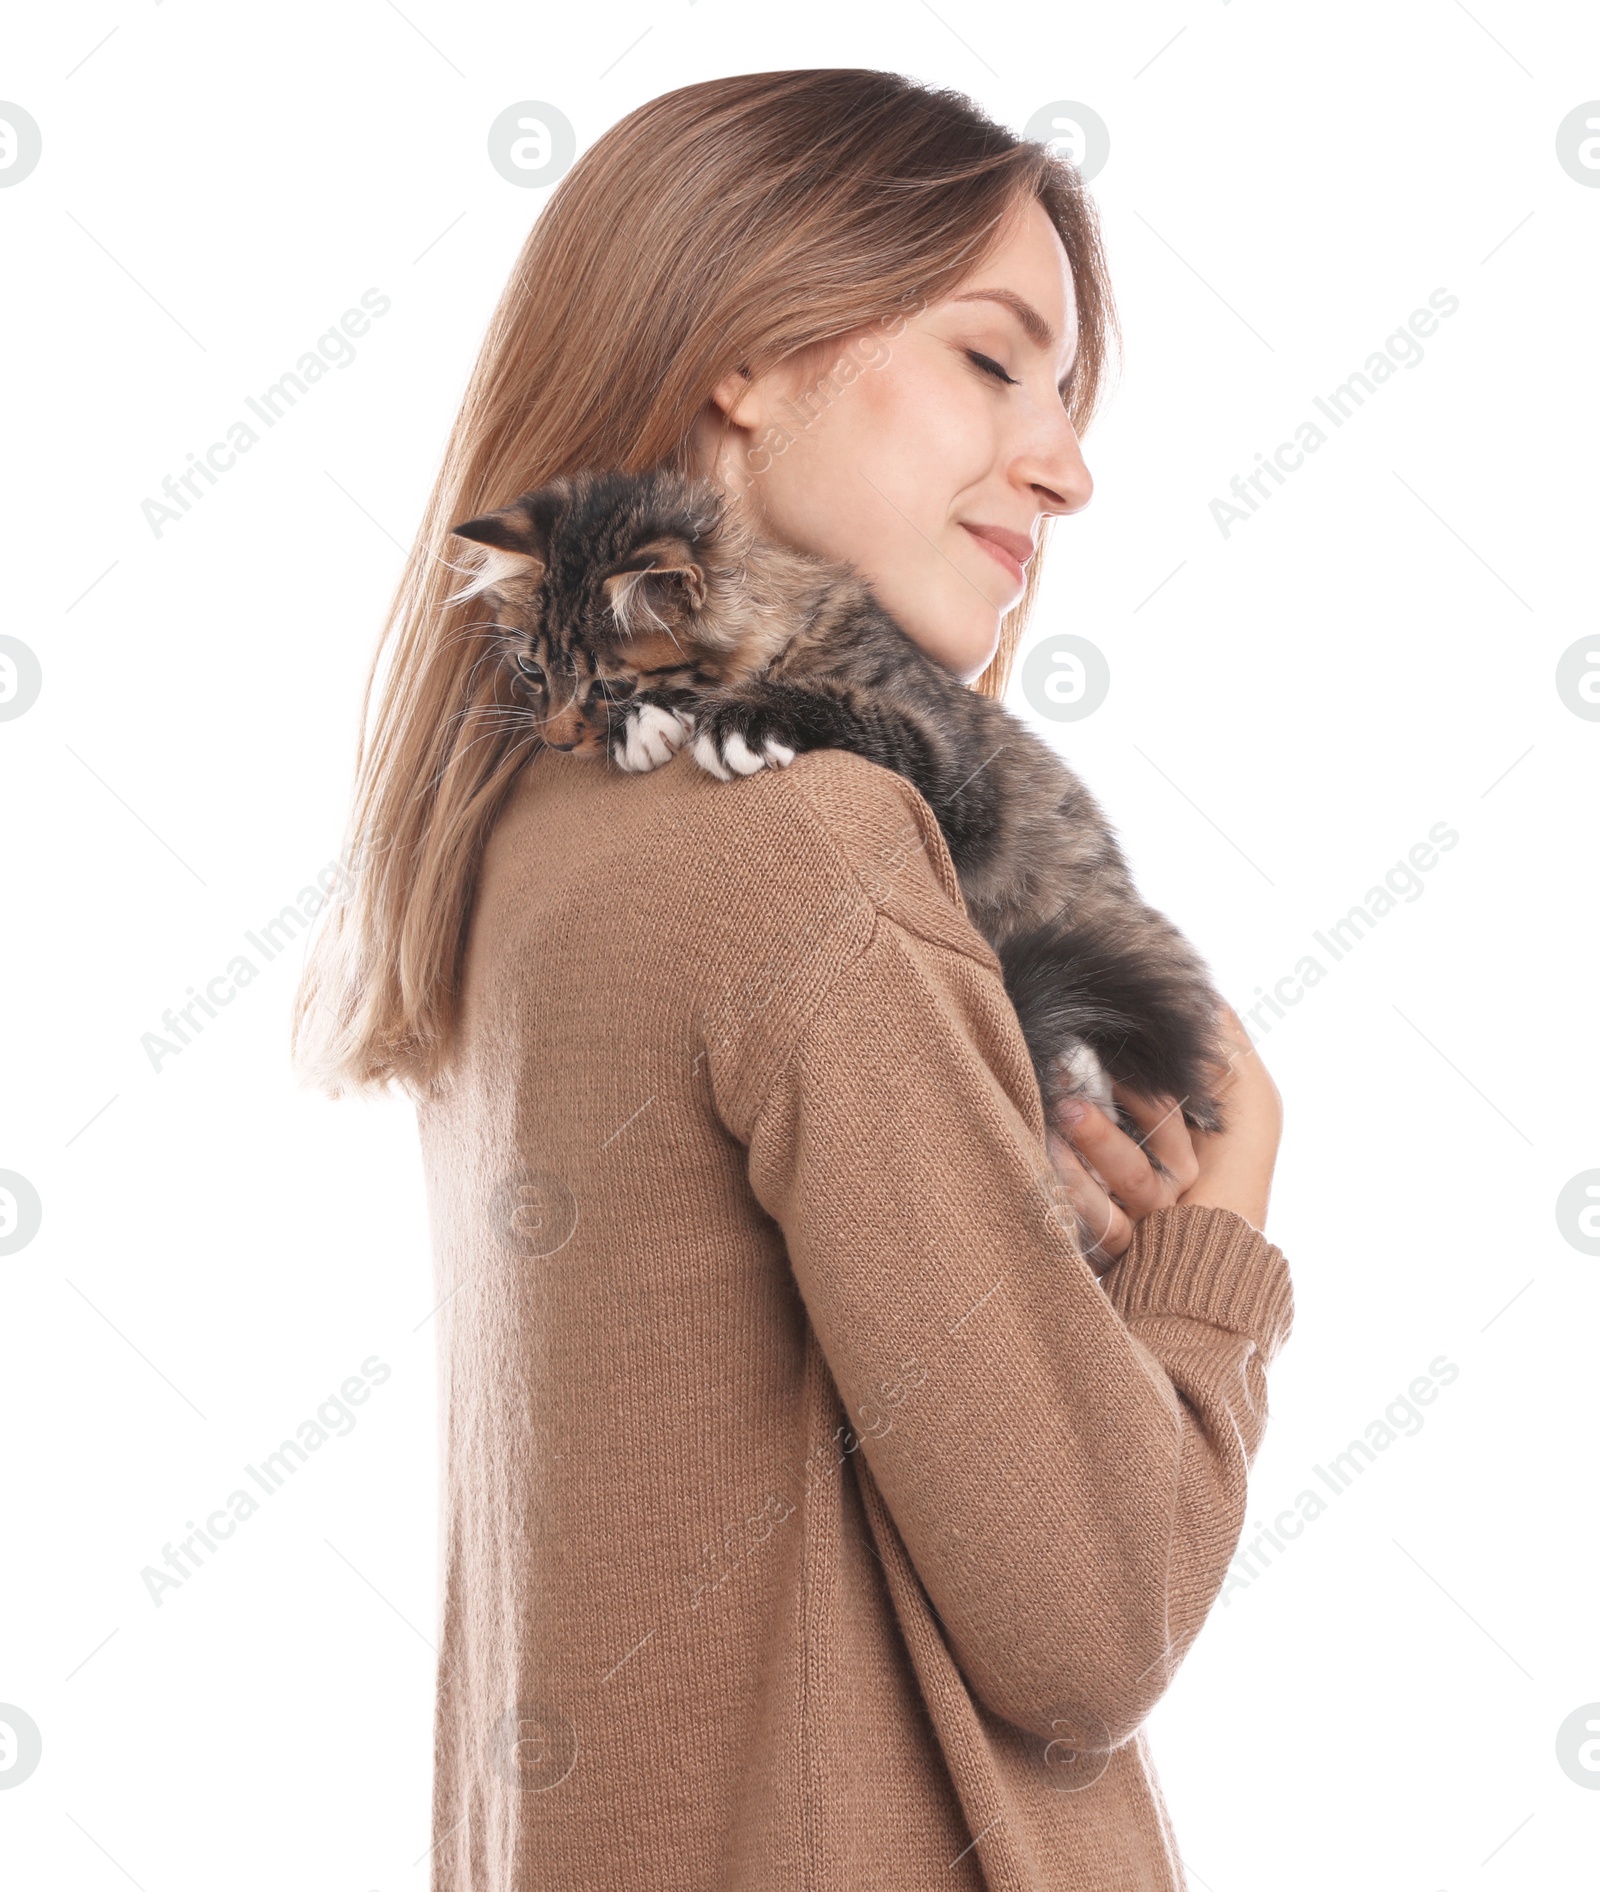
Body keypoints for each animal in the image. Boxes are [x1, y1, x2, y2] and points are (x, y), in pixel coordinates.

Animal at [457, 469, 1233, 1150]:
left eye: (609, 687)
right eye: (531, 669)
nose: (556, 739)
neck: (785, 631)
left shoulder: (957, 768)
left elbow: (852, 707)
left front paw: (736, 717)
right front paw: (646, 729)